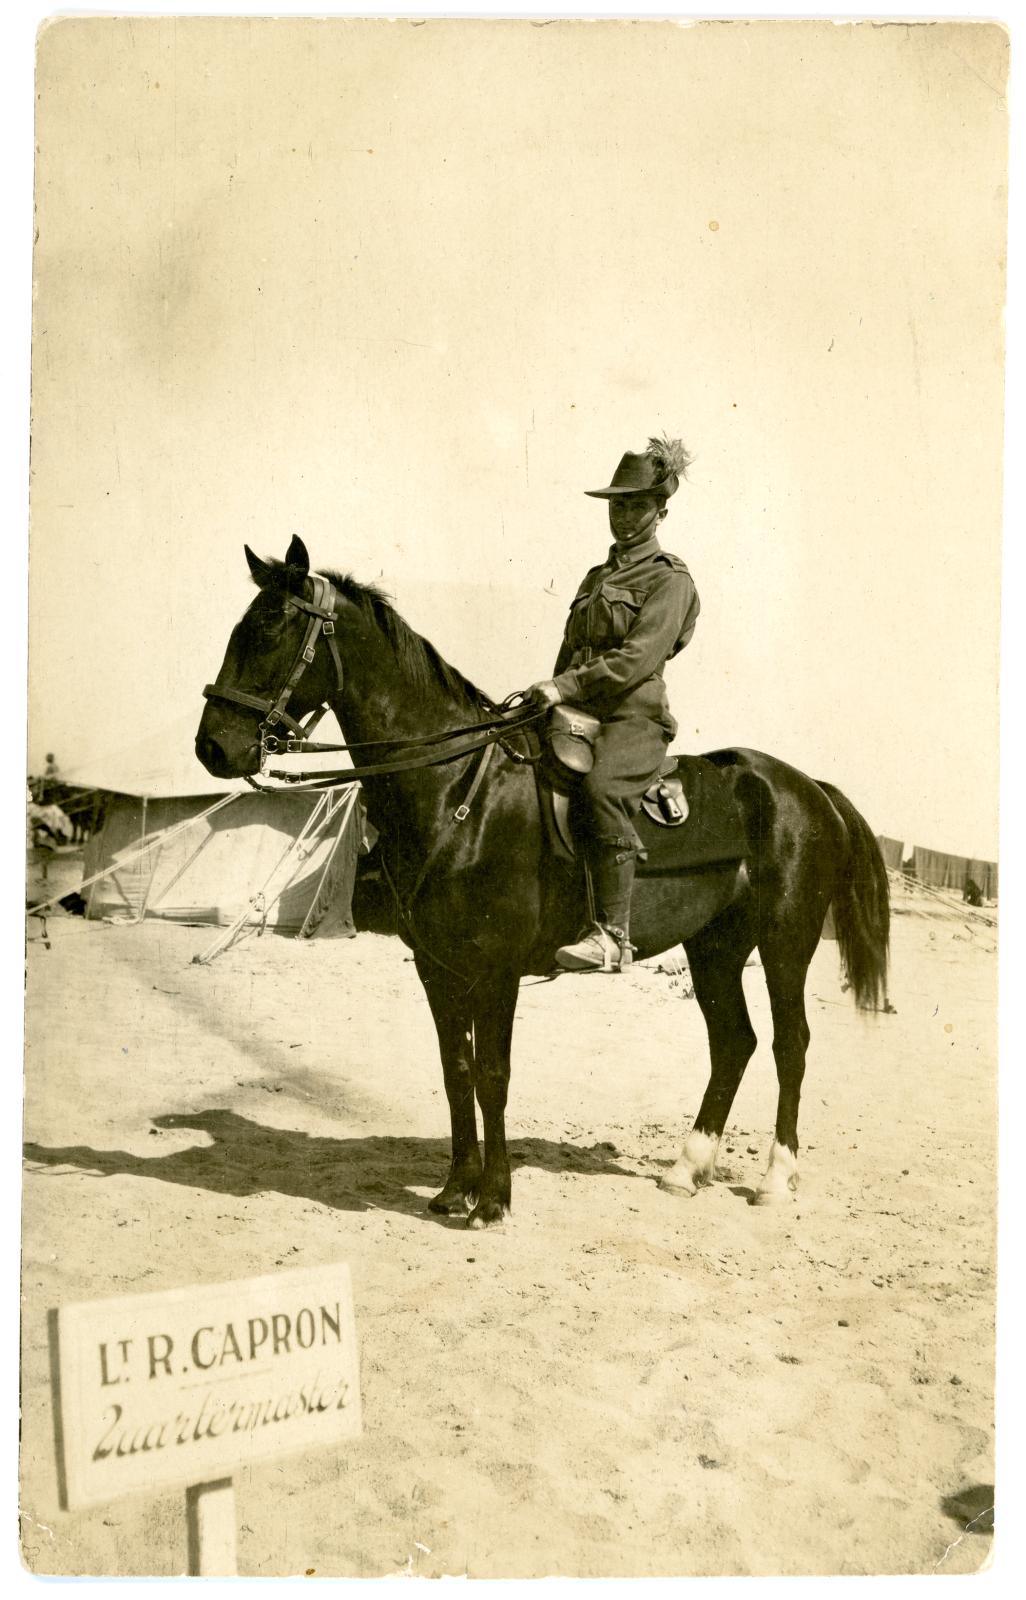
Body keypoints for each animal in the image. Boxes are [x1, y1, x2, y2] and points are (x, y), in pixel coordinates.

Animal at [196, 537, 883, 1222]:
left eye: (271, 629)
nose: (214, 747)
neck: (458, 789)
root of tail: (807, 787)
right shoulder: (437, 967)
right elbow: (457, 1072)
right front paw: (455, 1188)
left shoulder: (496, 969)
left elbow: (493, 1076)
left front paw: (493, 1199)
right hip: (715, 946)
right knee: (733, 1043)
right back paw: (687, 1168)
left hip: (785, 943)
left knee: (790, 1044)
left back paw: (775, 1177)